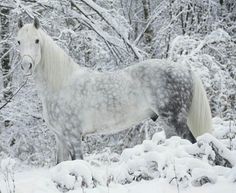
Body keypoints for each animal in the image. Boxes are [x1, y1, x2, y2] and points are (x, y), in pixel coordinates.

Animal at [16, 18, 212, 163]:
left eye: (37, 40)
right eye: (18, 41)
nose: (26, 66)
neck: (61, 84)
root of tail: (185, 69)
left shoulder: (73, 136)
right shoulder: (60, 138)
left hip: (175, 121)